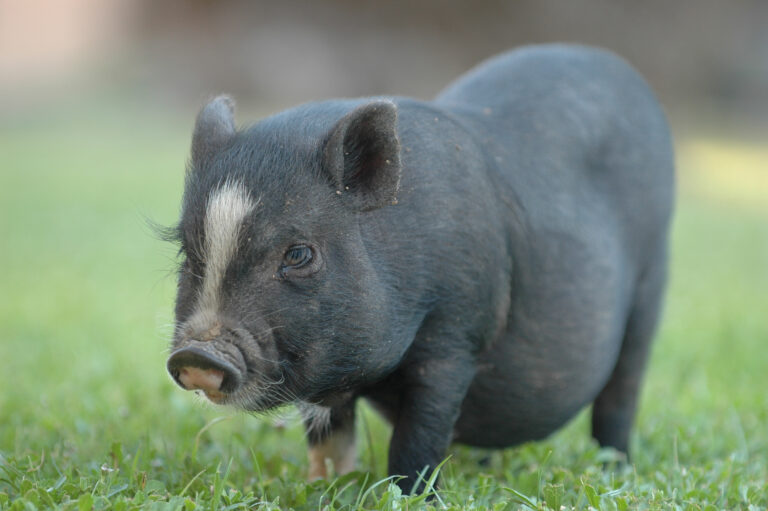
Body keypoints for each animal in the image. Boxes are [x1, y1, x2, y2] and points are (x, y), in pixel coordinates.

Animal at [165, 44, 674, 494]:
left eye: (298, 255)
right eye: (188, 254)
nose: (197, 354)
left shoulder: (455, 334)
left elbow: (417, 439)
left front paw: (413, 497)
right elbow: (329, 442)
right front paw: (324, 489)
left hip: (651, 285)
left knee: (621, 395)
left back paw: (615, 471)